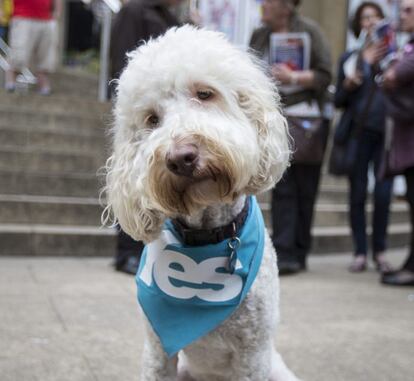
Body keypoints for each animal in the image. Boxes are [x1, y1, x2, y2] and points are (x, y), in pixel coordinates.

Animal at [105, 26, 300, 380]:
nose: (181, 157)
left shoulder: (254, 354)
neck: (207, 234)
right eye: (152, 119)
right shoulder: (157, 350)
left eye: (205, 94)